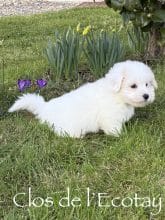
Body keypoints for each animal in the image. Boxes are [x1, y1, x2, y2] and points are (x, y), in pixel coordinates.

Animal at [8, 60, 157, 138]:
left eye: (147, 84)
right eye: (133, 86)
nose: (146, 96)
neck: (116, 95)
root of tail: (44, 107)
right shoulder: (109, 117)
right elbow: (113, 128)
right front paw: (120, 135)